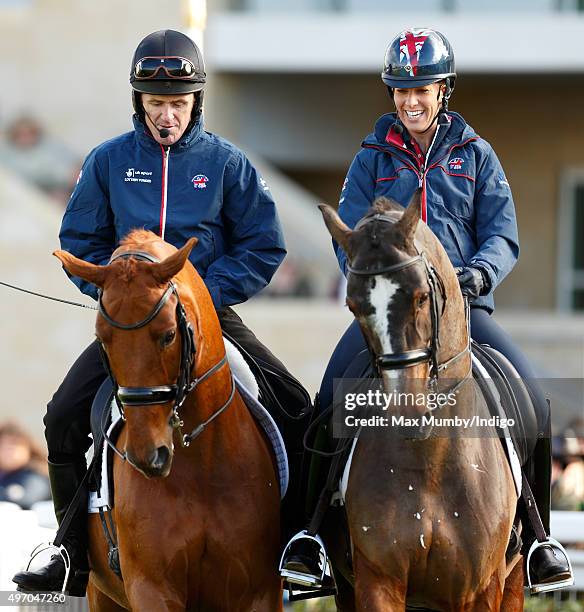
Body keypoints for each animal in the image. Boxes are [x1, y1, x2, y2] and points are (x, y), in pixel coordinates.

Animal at [54, 231, 282, 612]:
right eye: (102, 338)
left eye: (168, 335)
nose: (149, 456)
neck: (201, 464)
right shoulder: (152, 588)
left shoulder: (260, 591)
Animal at [320, 195, 524, 612]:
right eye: (352, 306)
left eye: (421, 296)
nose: (407, 411)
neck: (430, 459)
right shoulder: (378, 581)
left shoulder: (480, 590)